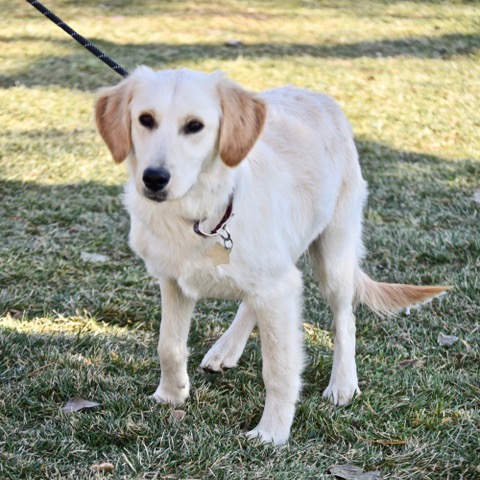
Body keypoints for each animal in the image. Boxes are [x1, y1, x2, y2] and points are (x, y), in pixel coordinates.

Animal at [95, 66, 449, 445]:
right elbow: (169, 345)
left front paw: (272, 432)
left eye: (194, 126)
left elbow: (279, 366)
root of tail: (316, 96)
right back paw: (226, 349)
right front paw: (171, 395)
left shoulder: (278, 288)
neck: (203, 213)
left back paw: (343, 383)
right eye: (145, 119)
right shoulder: (174, 280)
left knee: (344, 318)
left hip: (334, 254)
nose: (154, 178)